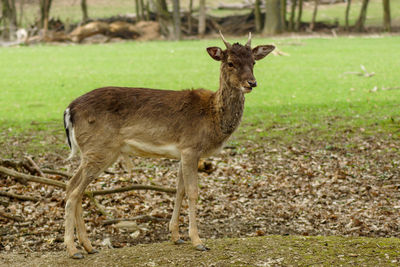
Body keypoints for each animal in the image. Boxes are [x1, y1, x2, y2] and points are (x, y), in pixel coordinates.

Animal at [62, 31, 276, 260]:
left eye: (253, 62)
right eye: (230, 63)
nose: (251, 83)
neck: (213, 117)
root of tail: (69, 110)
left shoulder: (182, 152)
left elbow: (179, 190)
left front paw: (176, 236)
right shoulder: (191, 148)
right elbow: (193, 192)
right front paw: (197, 241)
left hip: (92, 152)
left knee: (72, 186)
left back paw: (88, 246)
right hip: (100, 148)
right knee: (74, 192)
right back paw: (73, 250)